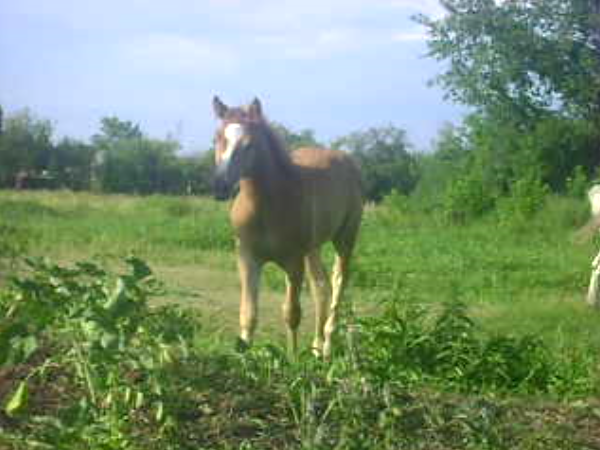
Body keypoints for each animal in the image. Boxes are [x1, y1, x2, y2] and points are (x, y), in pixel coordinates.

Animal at [209, 96, 364, 356]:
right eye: (217, 138)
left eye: (249, 144)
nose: (219, 184)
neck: (266, 205)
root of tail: (347, 160)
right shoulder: (247, 257)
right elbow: (248, 314)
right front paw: (244, 356)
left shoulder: (293, 262)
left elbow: (292, 314)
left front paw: (292, 359)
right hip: (313, 249)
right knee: (321, 287)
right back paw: (316, 348)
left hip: (345, 238)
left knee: (338, 281)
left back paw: (327, 346)